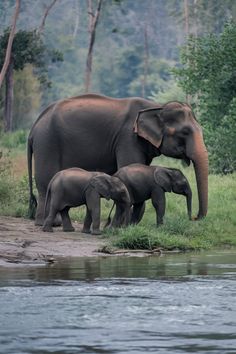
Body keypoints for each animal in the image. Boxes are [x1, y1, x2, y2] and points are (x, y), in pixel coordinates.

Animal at [28, 94, 208, 225]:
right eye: (185, 132)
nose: (194, 218)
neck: (157, 107)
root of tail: (35, 125)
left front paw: (132, 224)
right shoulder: (128, 138)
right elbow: (130, 166)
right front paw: (126, 224)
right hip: (47, 142)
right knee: (46, 181)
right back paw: (48, 223)